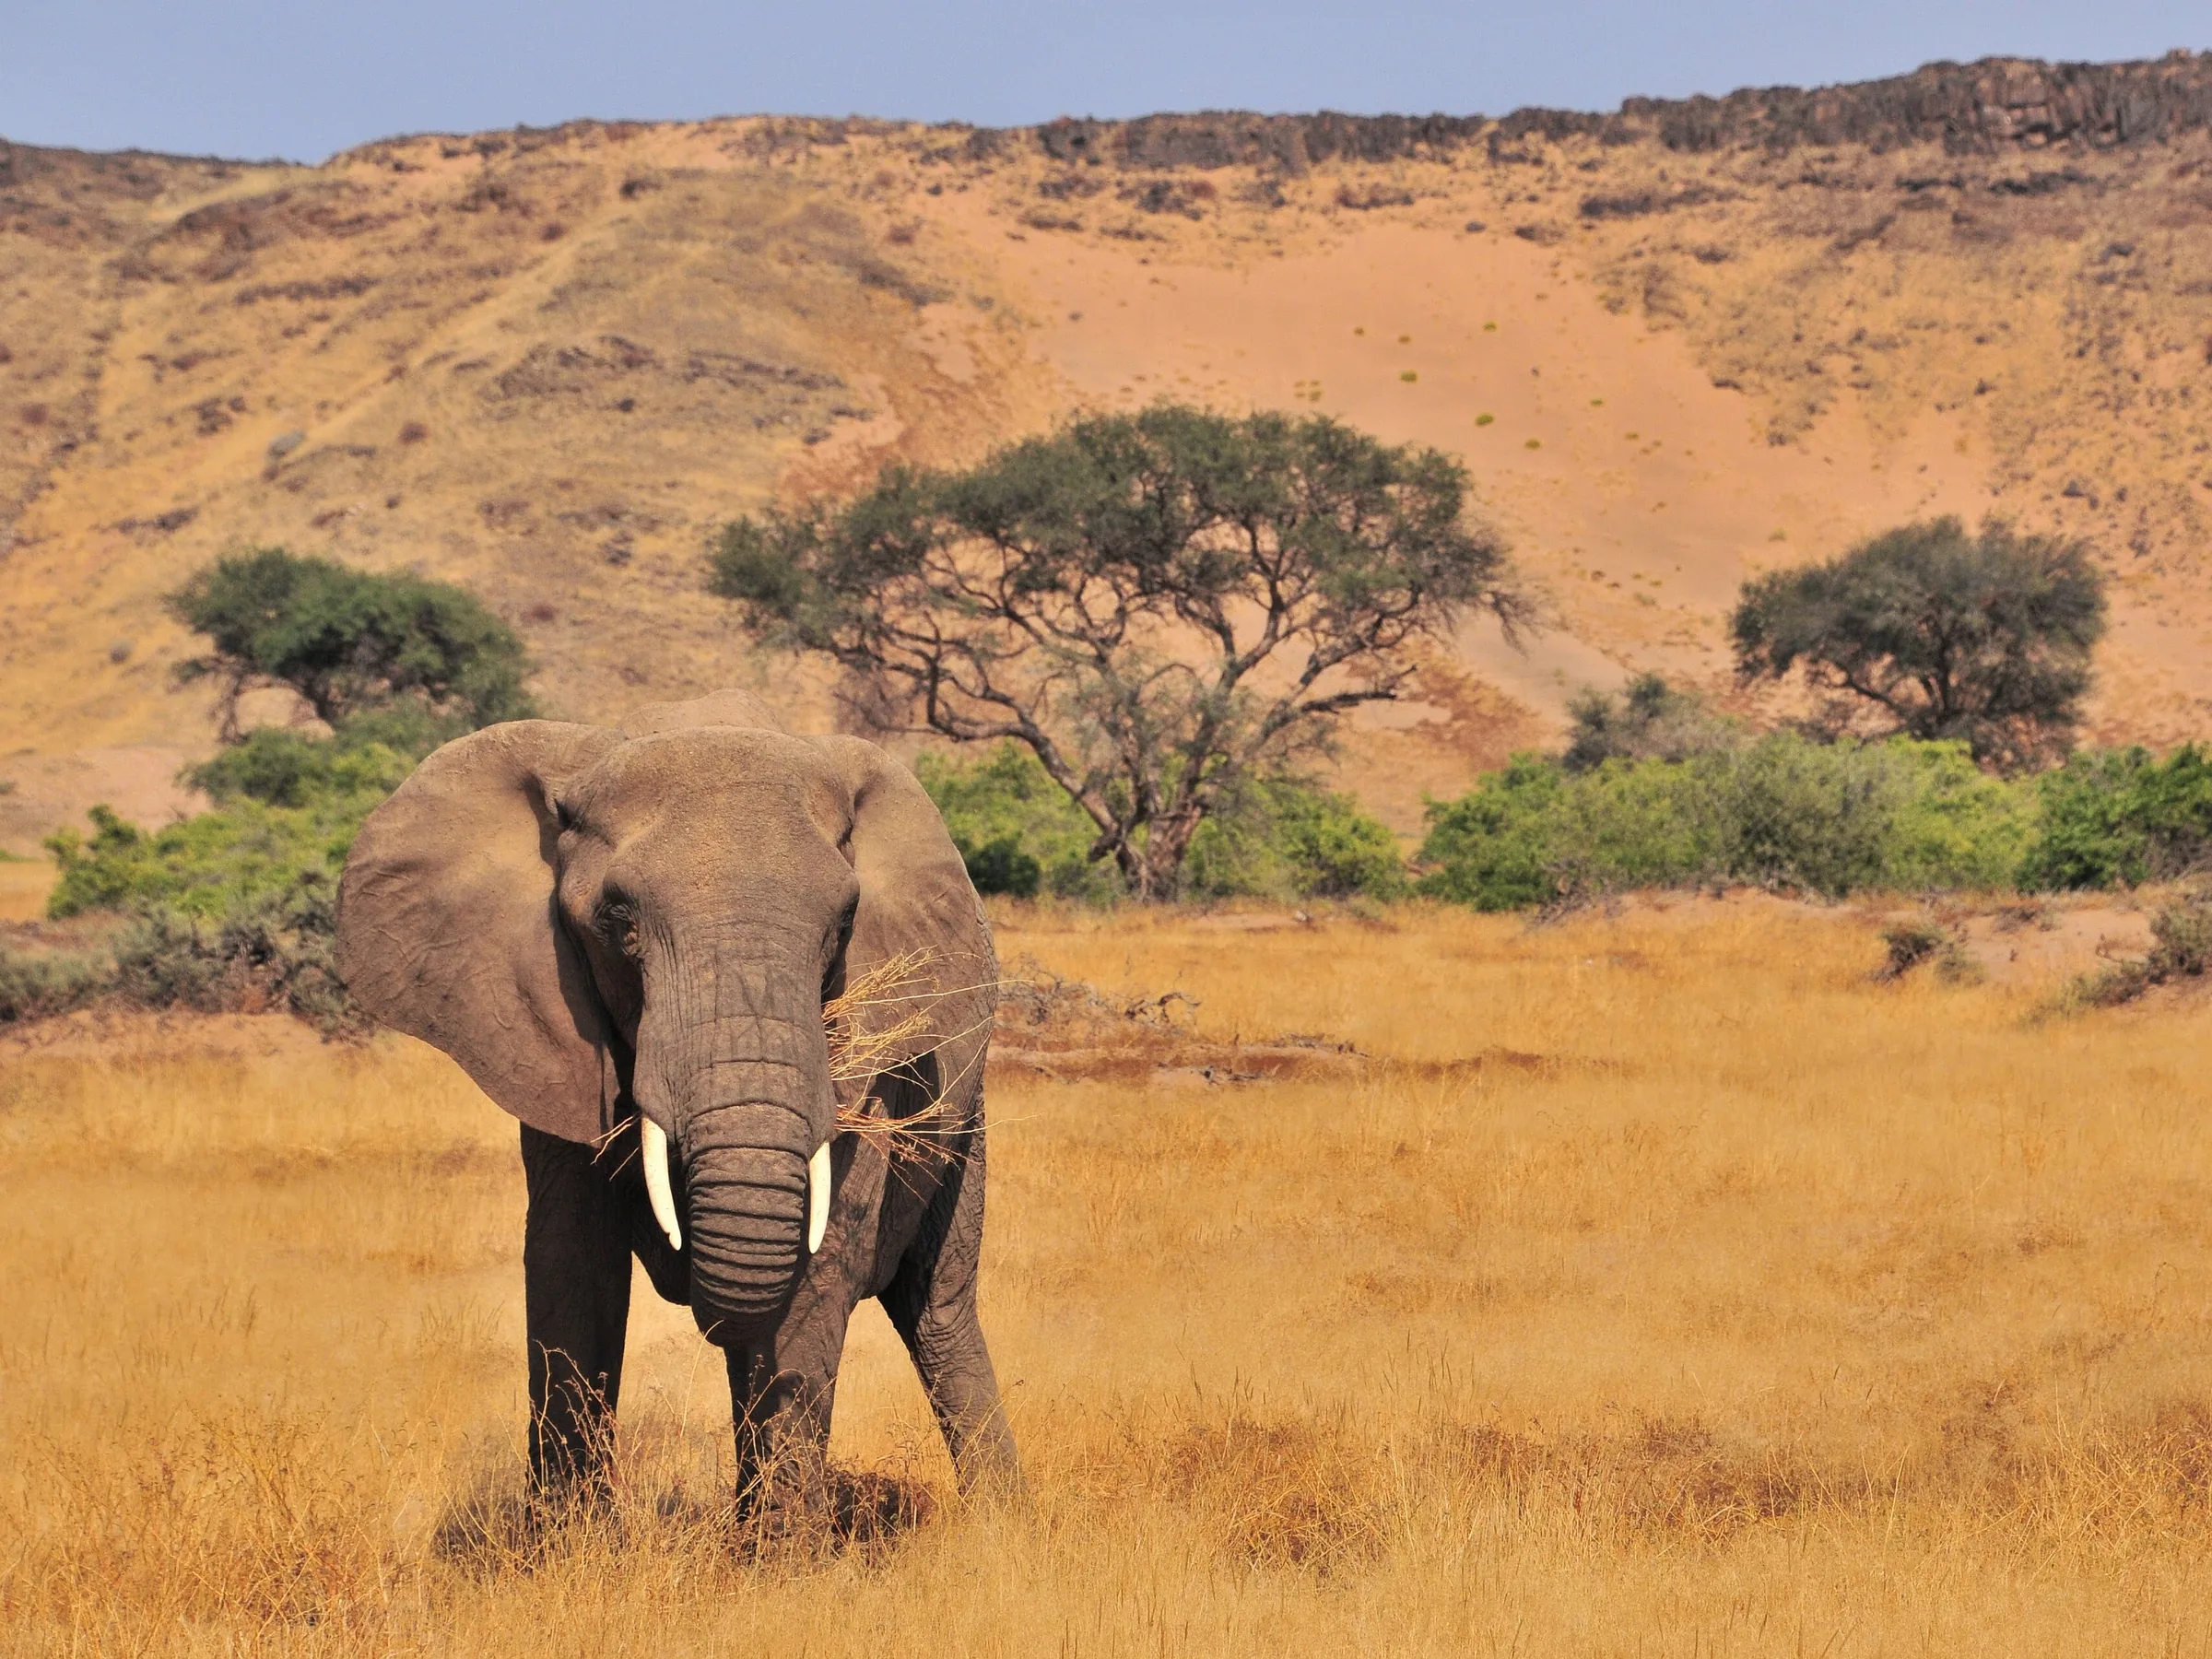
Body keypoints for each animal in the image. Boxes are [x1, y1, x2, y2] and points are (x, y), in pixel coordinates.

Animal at [334, 688, 1020, 1508]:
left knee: (937, 1308)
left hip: (965, 1113)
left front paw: (780, 1547)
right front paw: (572, 1538)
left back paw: (998, 1522)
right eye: (617, 922)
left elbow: (824, 1263)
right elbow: (571, 1261)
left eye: (845, 925)